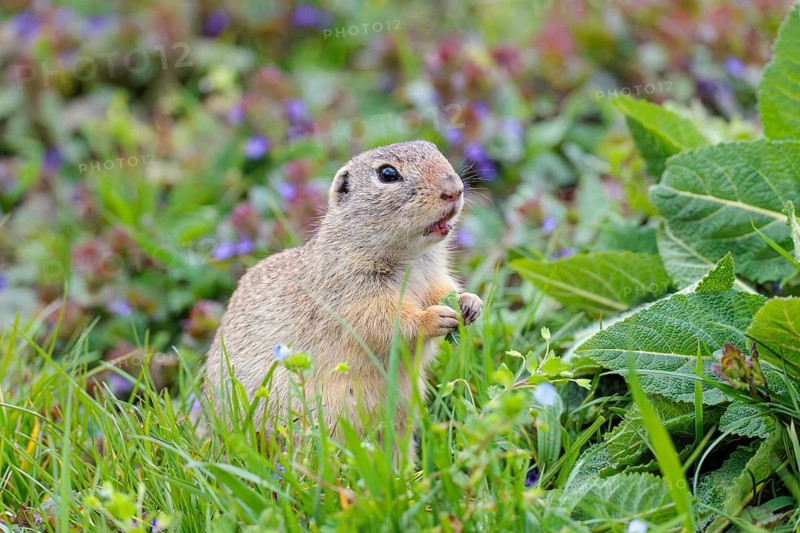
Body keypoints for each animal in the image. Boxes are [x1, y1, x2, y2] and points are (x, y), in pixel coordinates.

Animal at [204, 140, 482, 453]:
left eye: (433, 148)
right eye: (387, 174)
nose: (454, 189)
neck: (411, 258)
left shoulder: (433, 277)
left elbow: (444, 290)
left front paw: (470, 303)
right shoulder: (353, 294)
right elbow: (385, 322)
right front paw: (436, 317)